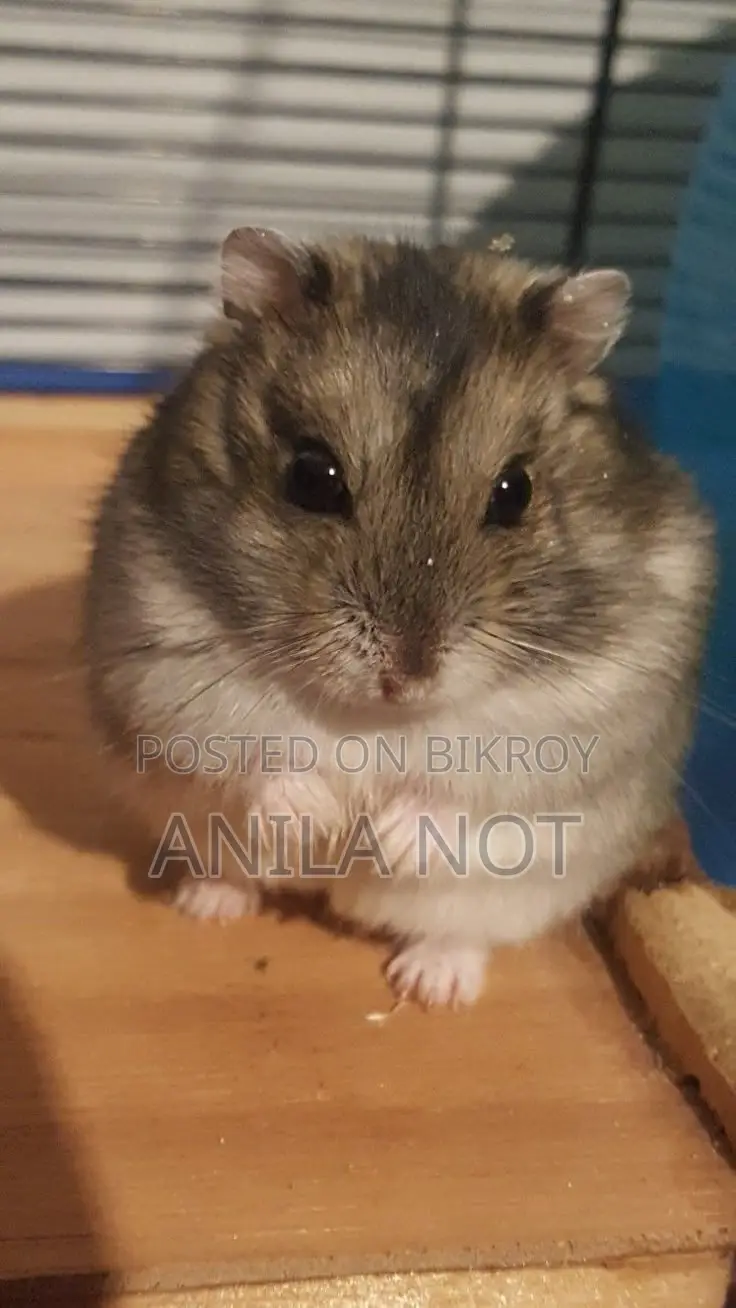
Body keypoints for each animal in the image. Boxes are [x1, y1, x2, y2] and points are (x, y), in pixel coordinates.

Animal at [82, 228, 716, 1008]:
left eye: (515, 492)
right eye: (311, 476)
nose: (406, 678)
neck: (377, 719)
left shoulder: (590, 713)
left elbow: (465, 791)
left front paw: (380, 836)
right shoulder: (166, 668)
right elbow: (258, 760)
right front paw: (325, 820)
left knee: (464, 929)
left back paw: (431, 983)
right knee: (236, 867)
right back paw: (209, 902)